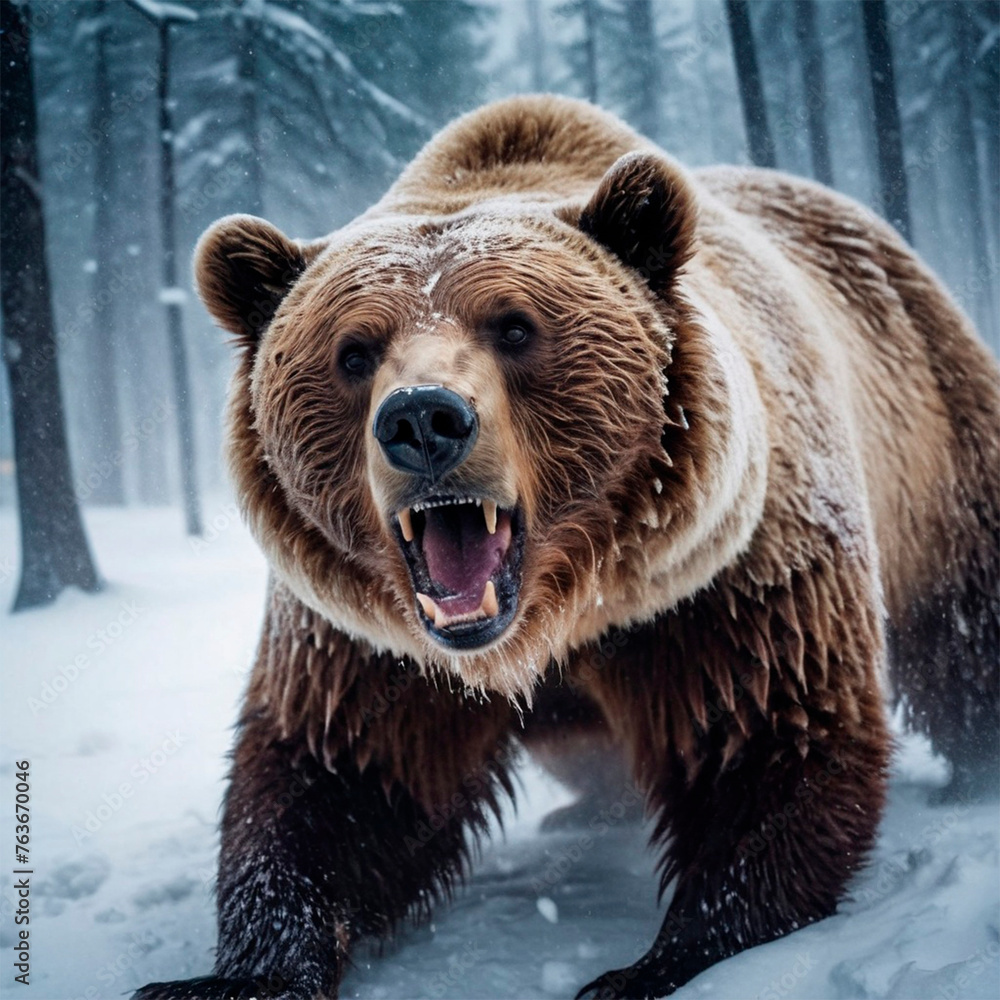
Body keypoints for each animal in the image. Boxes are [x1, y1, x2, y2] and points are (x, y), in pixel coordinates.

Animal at [135, 95, 999, 1000]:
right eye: (354, 351)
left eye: (514, 327)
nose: (422, 420)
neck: (559, 615)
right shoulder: (369, 645)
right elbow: (340, 775)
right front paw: (233, 975)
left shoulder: (722, 583)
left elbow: (765, 734)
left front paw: (650, 963)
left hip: (937, 433)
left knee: (969, 625)